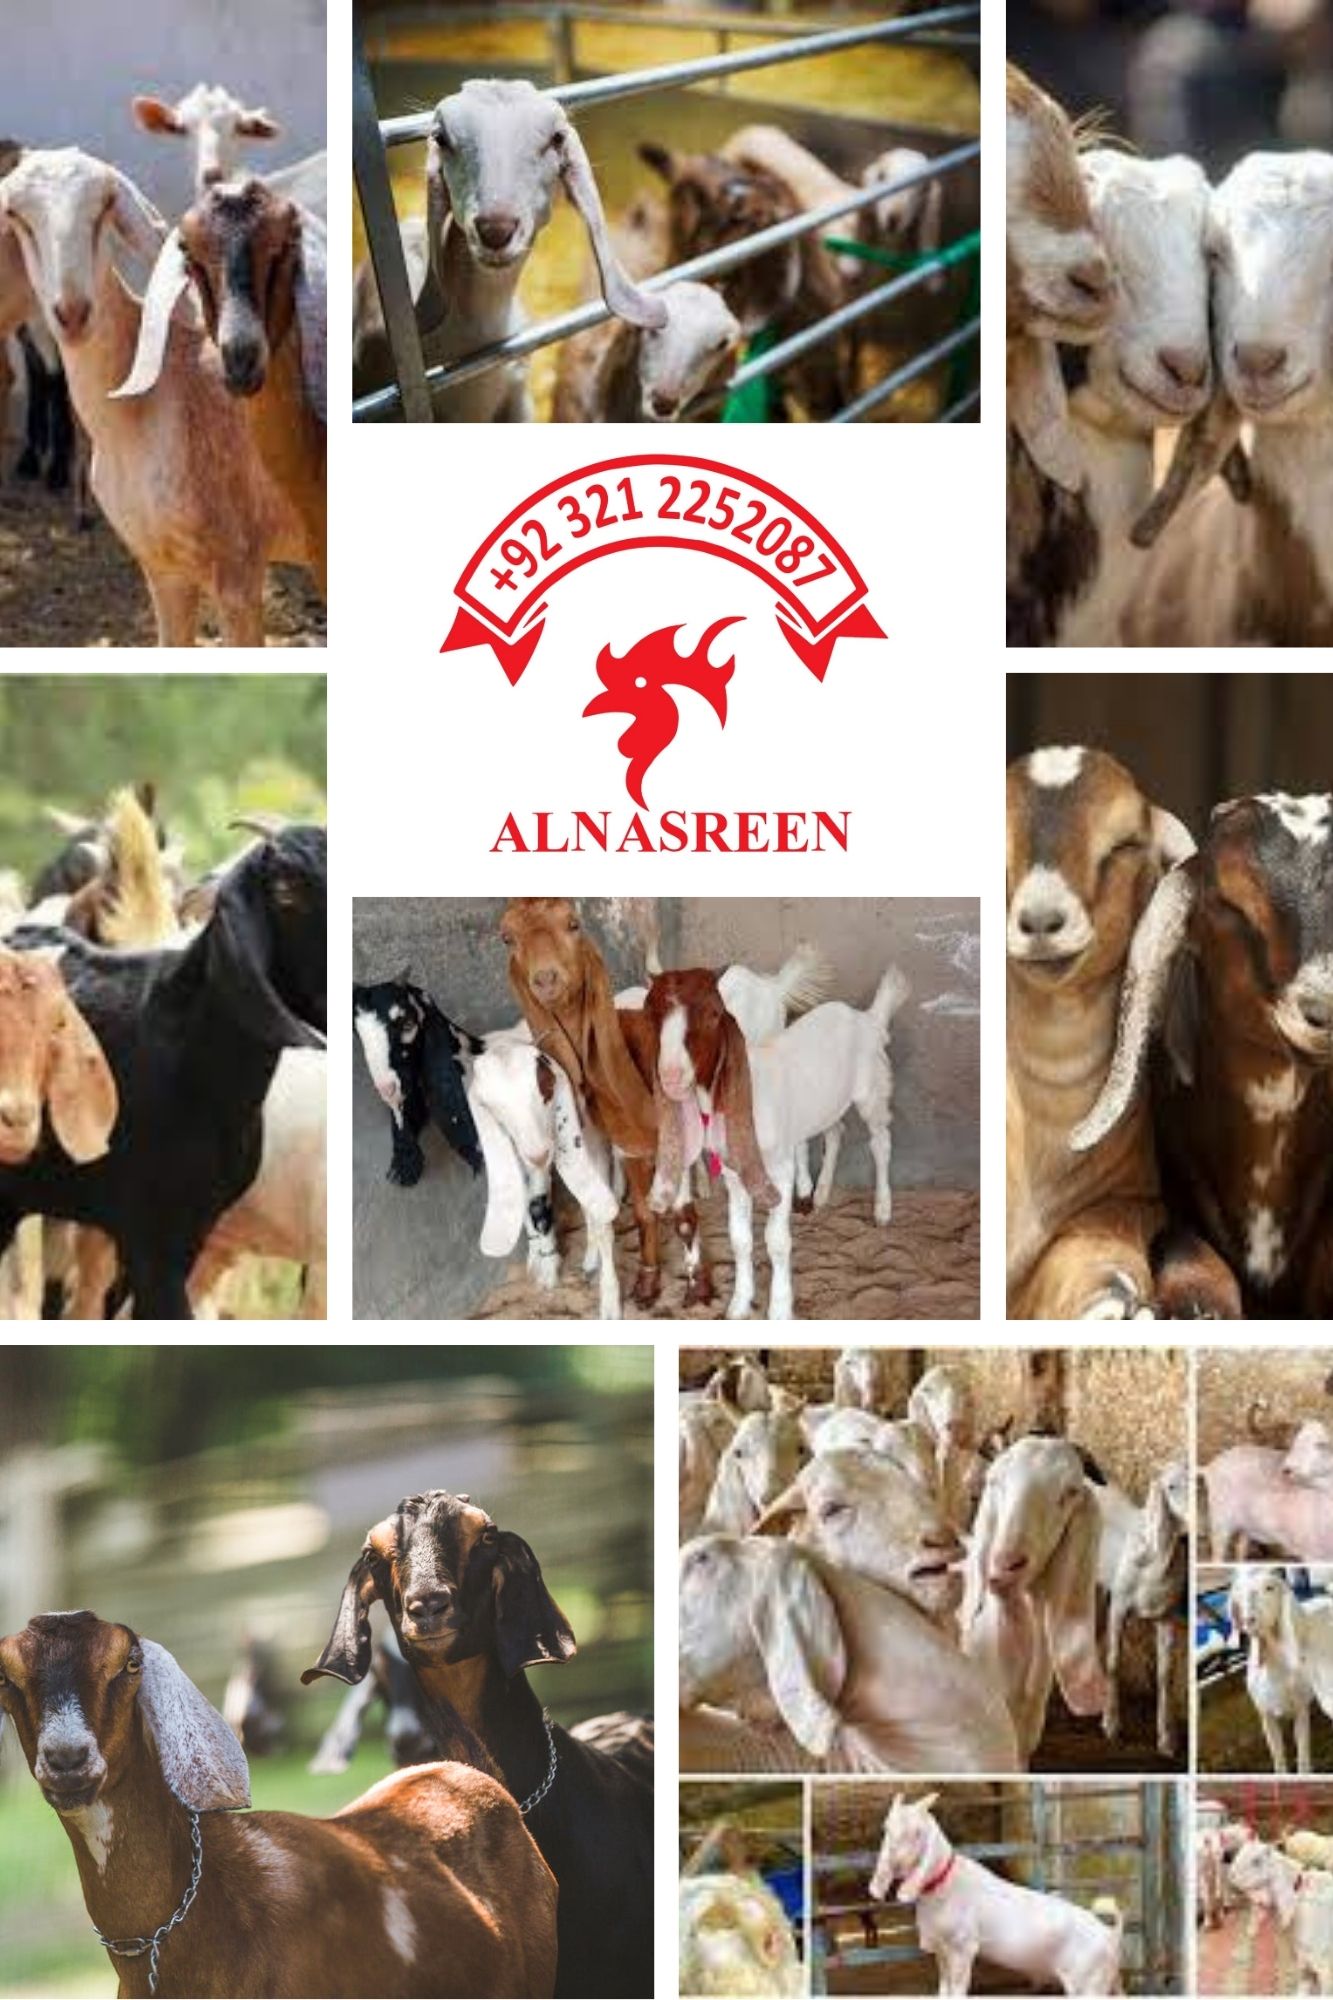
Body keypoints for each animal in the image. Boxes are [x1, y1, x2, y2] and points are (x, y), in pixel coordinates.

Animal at [646, 965, 907, 1320]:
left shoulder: (781, 1169)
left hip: (872, 1090)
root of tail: (867, 1019)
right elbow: (740, 1239)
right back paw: (821, 1194)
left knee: (881, 1142)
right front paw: (739, 1304)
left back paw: (882, 1209)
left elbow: (777, 1241)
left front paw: (780, 1309)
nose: (671, 1075)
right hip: (825, 1102)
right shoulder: (734, 1174)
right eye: (652, 1015)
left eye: (714, 1014)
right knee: (835, 1131)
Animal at [870, 1791, 1124, 1996]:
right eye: (886, 1828)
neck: (942, 1888)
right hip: (1104, 1981)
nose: (895, 1865)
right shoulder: (941, 1948)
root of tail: (1111, 1936)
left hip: (1088, 1982)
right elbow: (943, 1987)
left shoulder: (963, 1947)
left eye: (917, 1832)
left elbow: (958, 1989)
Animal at [1097, 1460, 1189, 1757]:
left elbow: (1165, 1675)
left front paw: (1167, 1739)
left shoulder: (1167, 1616)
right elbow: (1114, 1661)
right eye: (1170, 1486)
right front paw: (1111, 1724)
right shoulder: (1119, 1607)